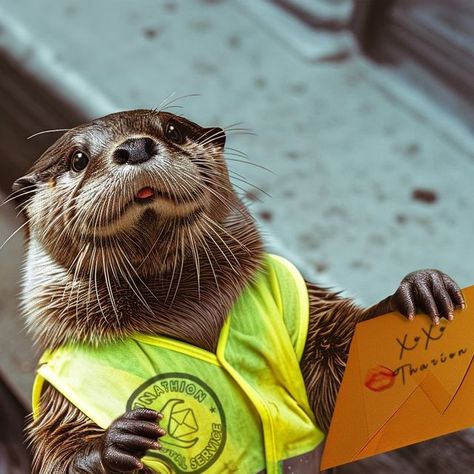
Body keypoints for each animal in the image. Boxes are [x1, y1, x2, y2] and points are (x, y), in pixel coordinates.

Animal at [12, 109, 464, 472]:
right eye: (77, 159)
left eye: (172, 129)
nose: (135, 146)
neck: (189, 318)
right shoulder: (61, 394)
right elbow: (58, 455)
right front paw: (114, 443)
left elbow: (344, 381)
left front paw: (416, 292)